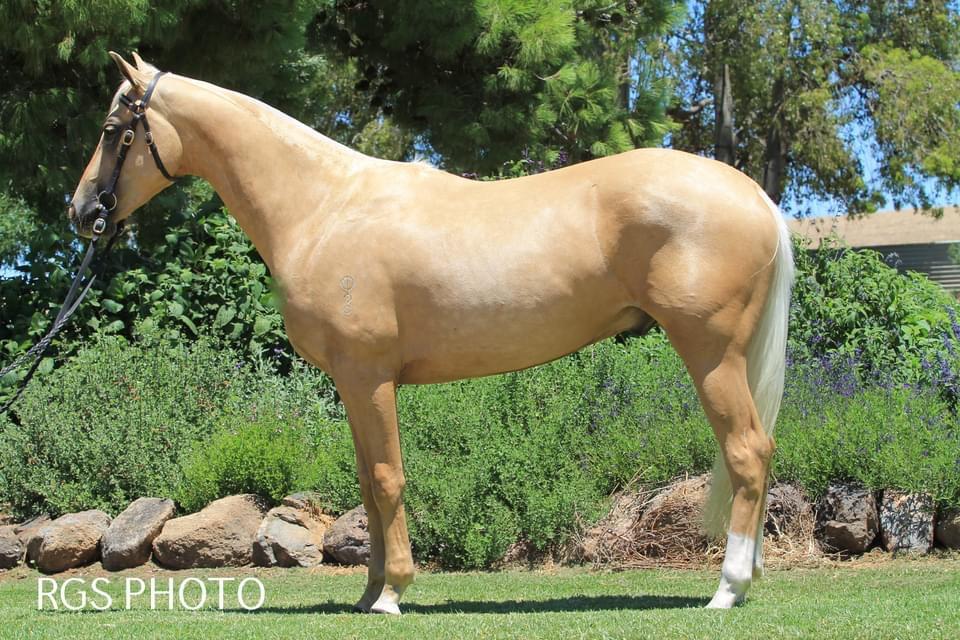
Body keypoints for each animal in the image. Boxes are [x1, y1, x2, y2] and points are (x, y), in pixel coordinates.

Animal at [68, 52, 793, 613]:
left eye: (111, 129)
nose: (81, 212)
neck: (324, 207)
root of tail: (756, 199)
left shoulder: (370, 377)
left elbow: (389, 478)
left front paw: (393, 593)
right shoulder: (353, 384)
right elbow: (367, 484)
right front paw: (368, 593)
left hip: (711, 353)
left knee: (747, 451)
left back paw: (727, 589)